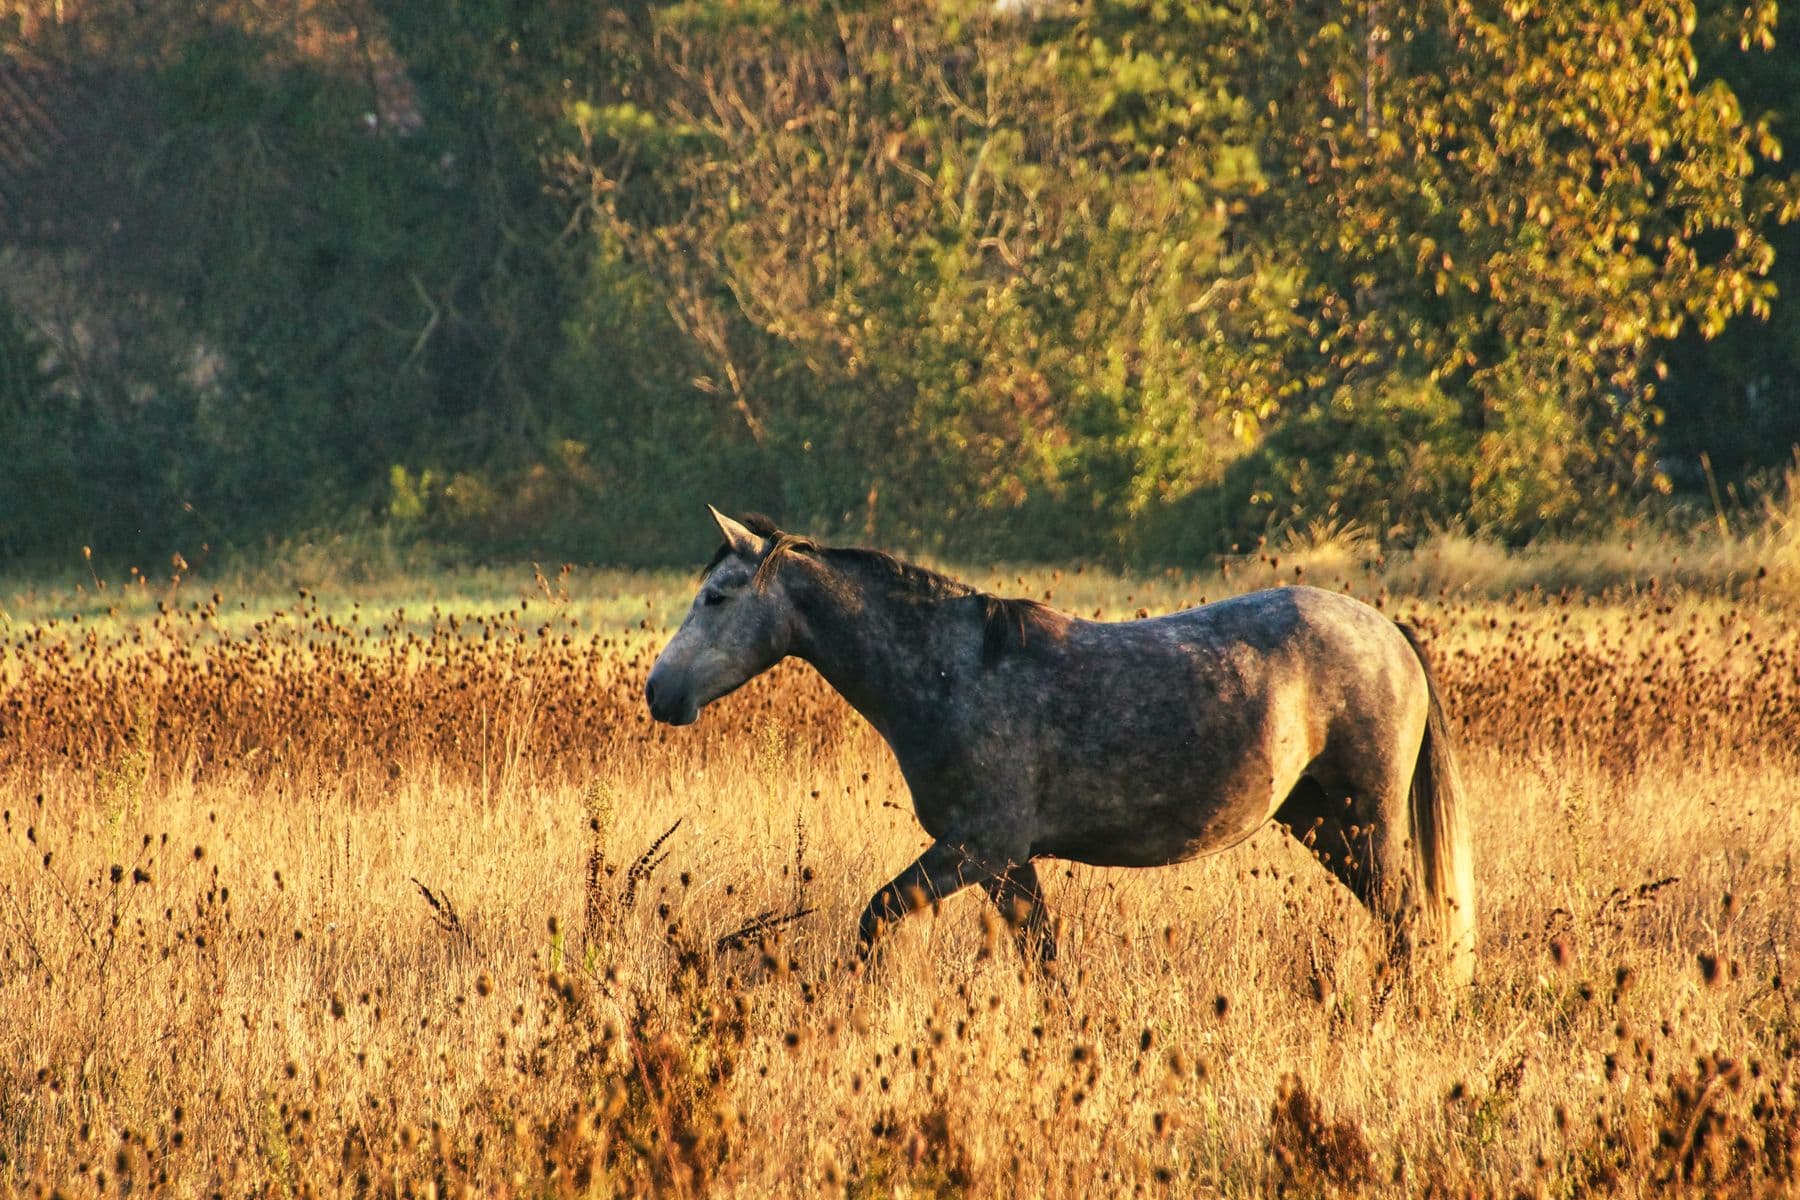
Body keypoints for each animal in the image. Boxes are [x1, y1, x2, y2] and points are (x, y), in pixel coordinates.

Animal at [645, 508, 1476, 984]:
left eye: (716, 596)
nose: (659, 692)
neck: (954, 671)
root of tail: (1390, 632)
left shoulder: (976, 848)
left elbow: (878, 915)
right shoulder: (1007, 863)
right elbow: (1042, 959)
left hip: (1365, 823)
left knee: (1406, 923)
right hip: (1319, 823)